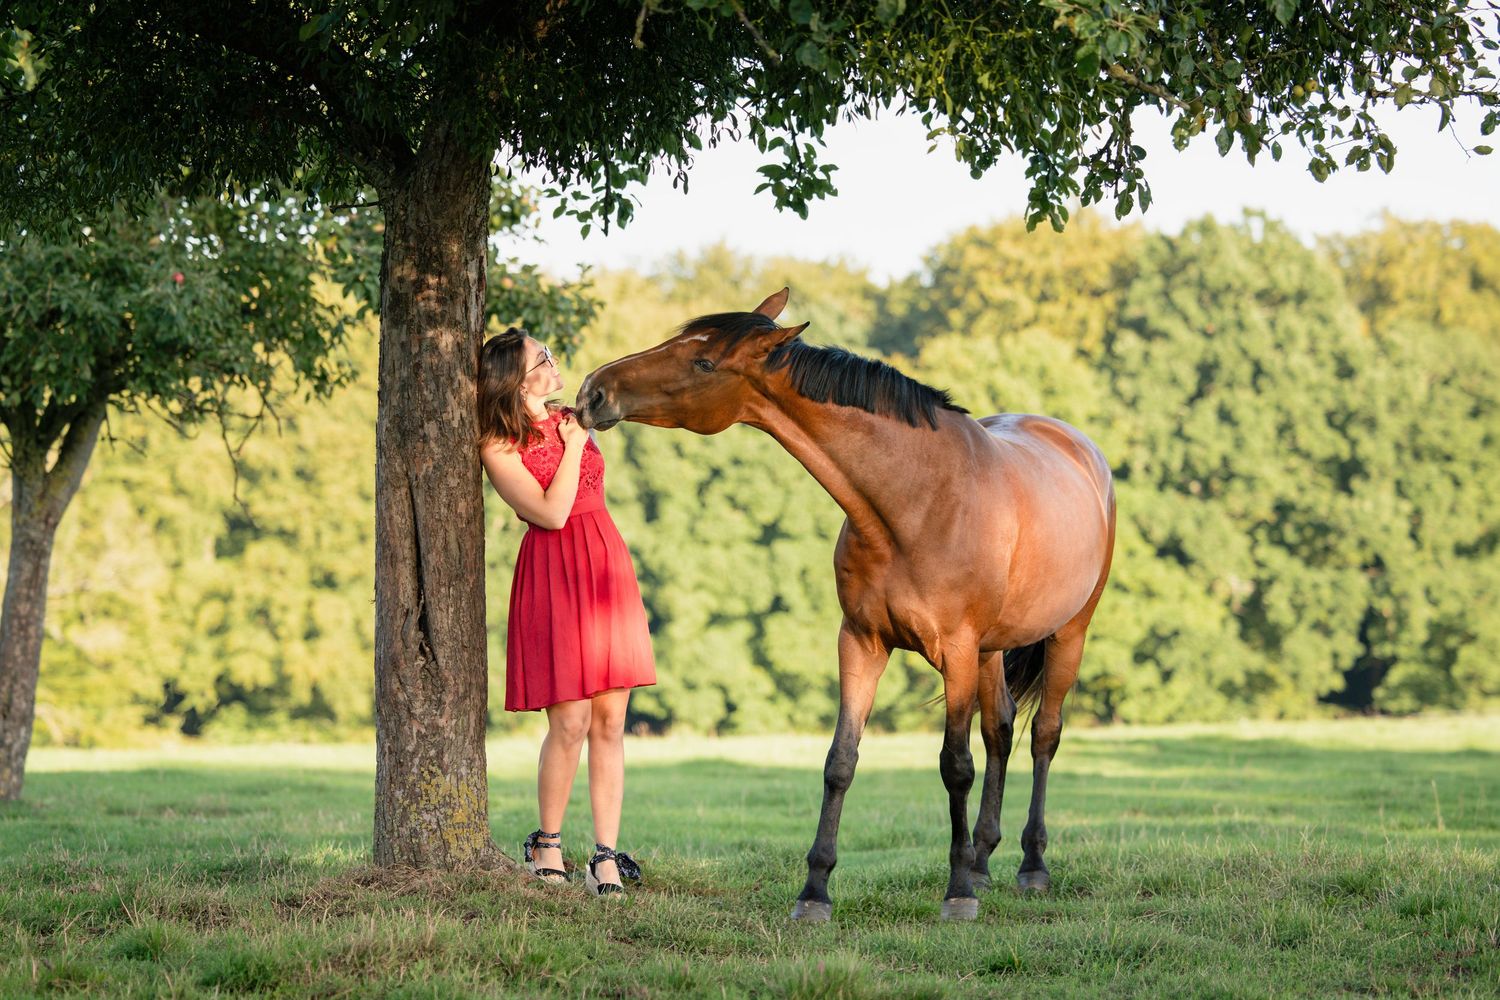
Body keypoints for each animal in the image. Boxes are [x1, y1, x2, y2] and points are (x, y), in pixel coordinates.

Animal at [574, 288, 1116, 922]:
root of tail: (1079, 448)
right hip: (989, 651)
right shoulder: (861, 641)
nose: (593, 391)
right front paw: (815, 891)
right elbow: (841, 761)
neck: (914, 501)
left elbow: (955, 766)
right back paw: (983, 861)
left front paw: (955, 892)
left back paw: (1030, 865)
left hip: (1067, 634)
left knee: (1043, 736)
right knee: (1000, 730)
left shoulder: (955, 651)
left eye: (703, 362)